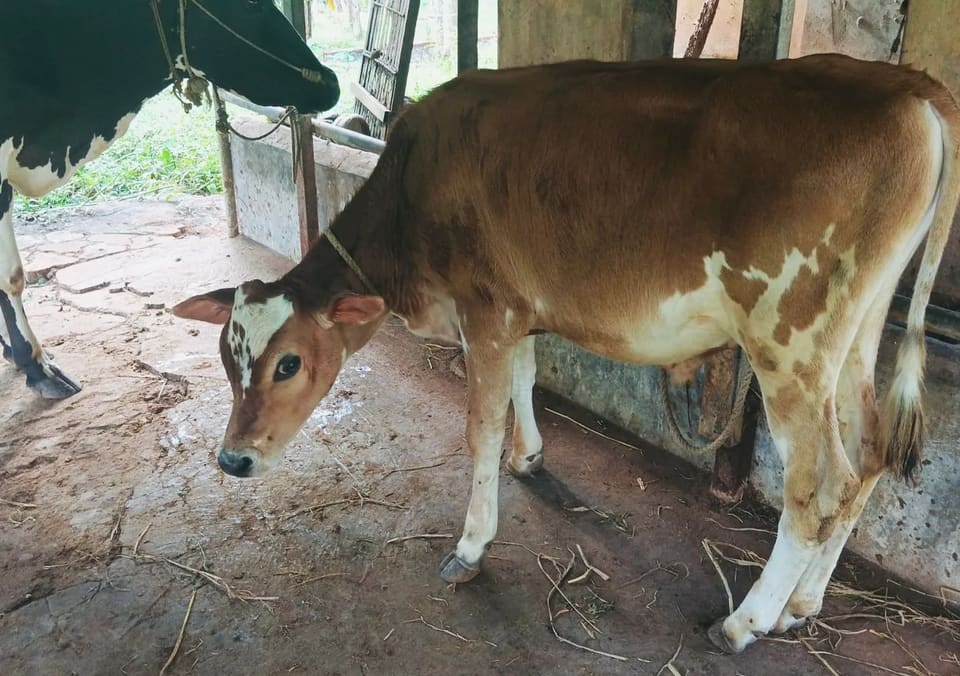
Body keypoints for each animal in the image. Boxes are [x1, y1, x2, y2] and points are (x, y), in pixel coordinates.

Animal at [172, 54, 960, 654]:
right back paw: (803, 603)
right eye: (226, 358)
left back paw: (748, 620)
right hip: (858, 333)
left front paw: (472, 546)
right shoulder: (515, 312)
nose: (232, 459)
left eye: (288, 363)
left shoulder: (486, 309)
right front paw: (530, 458)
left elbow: (479, 429)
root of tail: (909, 85)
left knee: (819, 487)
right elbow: (526, 381)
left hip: (790, 339)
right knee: (867, 458)